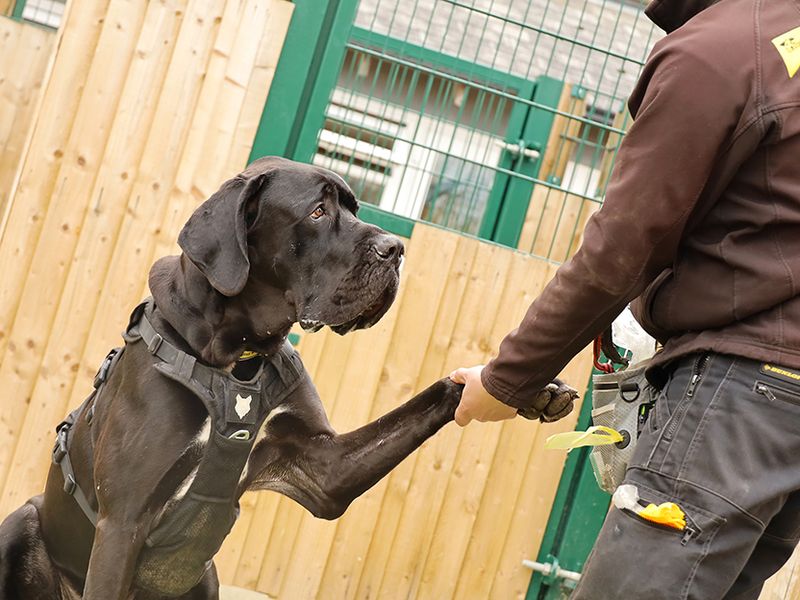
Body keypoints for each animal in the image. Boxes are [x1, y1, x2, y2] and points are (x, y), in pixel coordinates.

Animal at [0, 157, 576, 596]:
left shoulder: (324, 470)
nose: (396, 248)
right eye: (318, 212)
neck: (237, 359)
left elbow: (431, 398)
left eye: (354, 208)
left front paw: (527, 389)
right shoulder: (122, 524)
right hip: (23, 519)